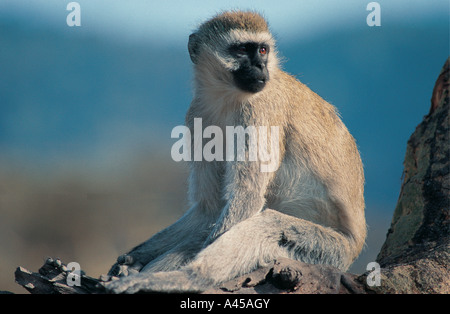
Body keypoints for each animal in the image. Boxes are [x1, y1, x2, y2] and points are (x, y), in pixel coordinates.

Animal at [105, 10, 366, 294]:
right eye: (241, 50)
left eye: (262, 50)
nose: (261, 67)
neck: (226, 97)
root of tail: (356, 245)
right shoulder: (197, 114)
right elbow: (209, 207)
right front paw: (133, 259)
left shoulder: (259, 110)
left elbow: (247, 196)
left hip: (328, 249)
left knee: (268, 226)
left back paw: (189, 277)